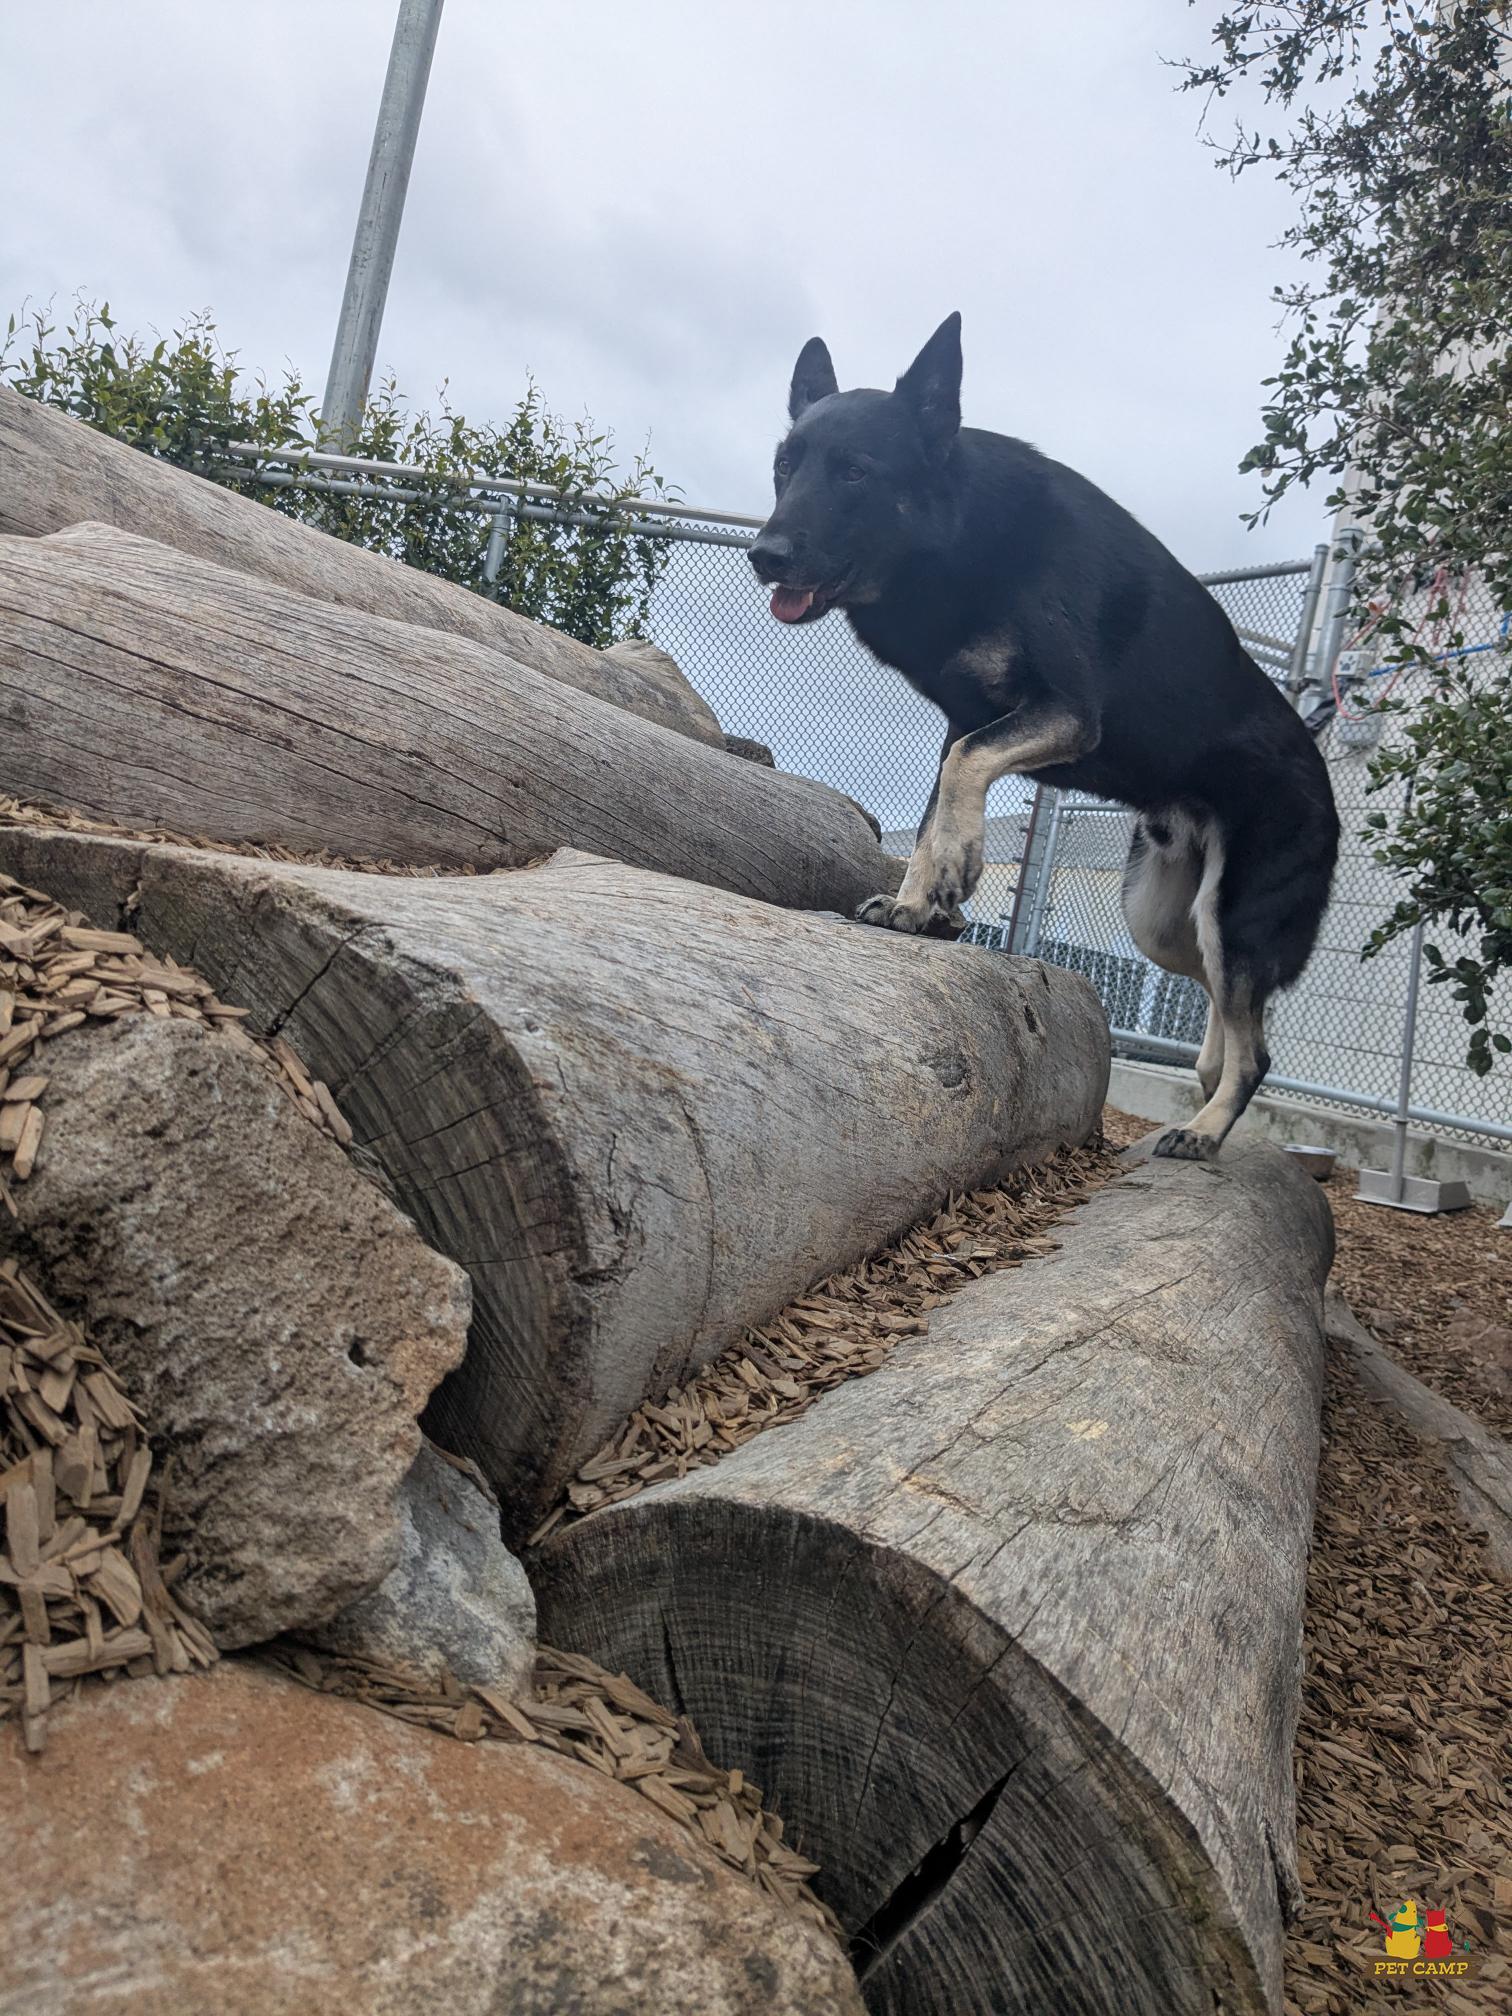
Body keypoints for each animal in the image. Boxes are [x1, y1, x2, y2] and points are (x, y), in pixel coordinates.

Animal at [749, 313, 1339, 1159]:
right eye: (784, 467)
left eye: (856, 472)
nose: (764, 557)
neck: (962, 536)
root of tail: (1324, 777)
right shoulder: (967, 720)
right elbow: (936, 804)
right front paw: (919, 903)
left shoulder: (1064, 713)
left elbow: (963, 776)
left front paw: (955, 875)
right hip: (1162, 922)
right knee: (1226, 1016)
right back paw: (1204, 1083)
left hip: (1234, 915)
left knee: (1254, 1047)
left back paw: (1204, 1130)